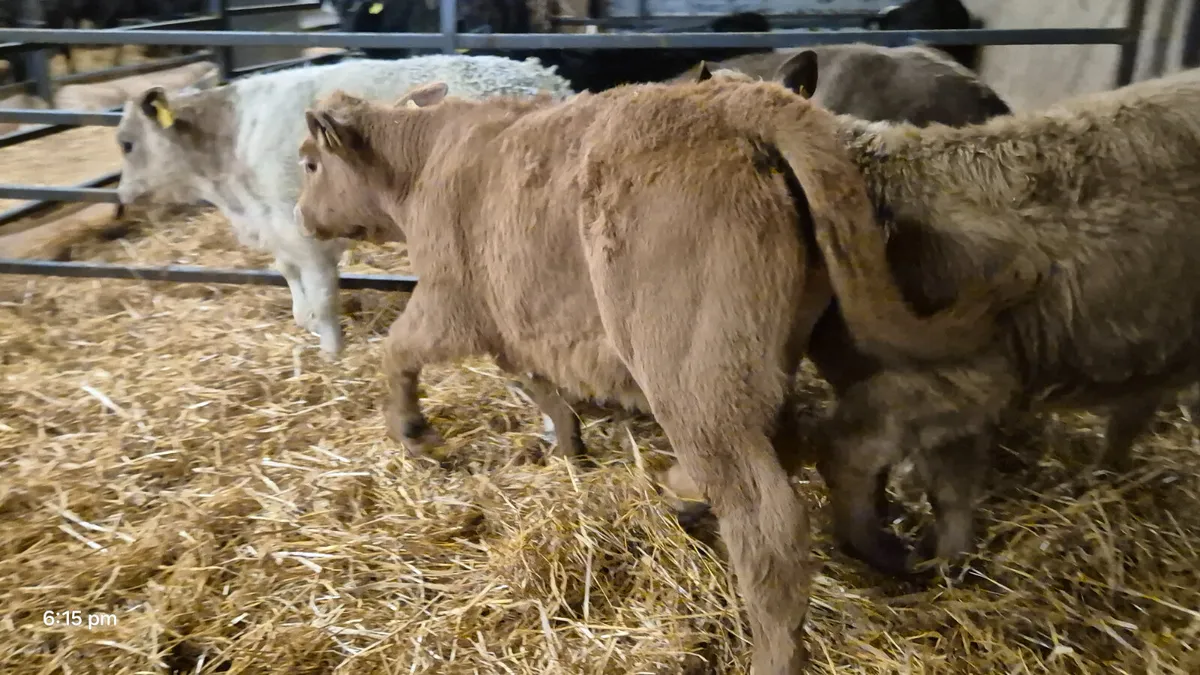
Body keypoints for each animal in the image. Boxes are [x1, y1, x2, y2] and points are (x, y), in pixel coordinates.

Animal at [114, 55, 574, 358]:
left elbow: (322, 298)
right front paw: (306, 325)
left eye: (127, 144)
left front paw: (332, 355)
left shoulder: (304, 236)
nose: (121, 197)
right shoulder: (282, 233)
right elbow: (294, 287)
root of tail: (546, 77)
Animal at [288, 75, 1042, 672]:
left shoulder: (453, 302)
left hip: (688, 371)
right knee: (835, 440)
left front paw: (413, 432)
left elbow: (396, 351)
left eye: (309, 163)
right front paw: (566, 446)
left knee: (768, 515)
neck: (425, 164)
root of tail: (735, 98)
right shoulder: (514, 326)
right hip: (803, 344)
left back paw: (772, 646)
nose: (300, 216)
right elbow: (542, 387)